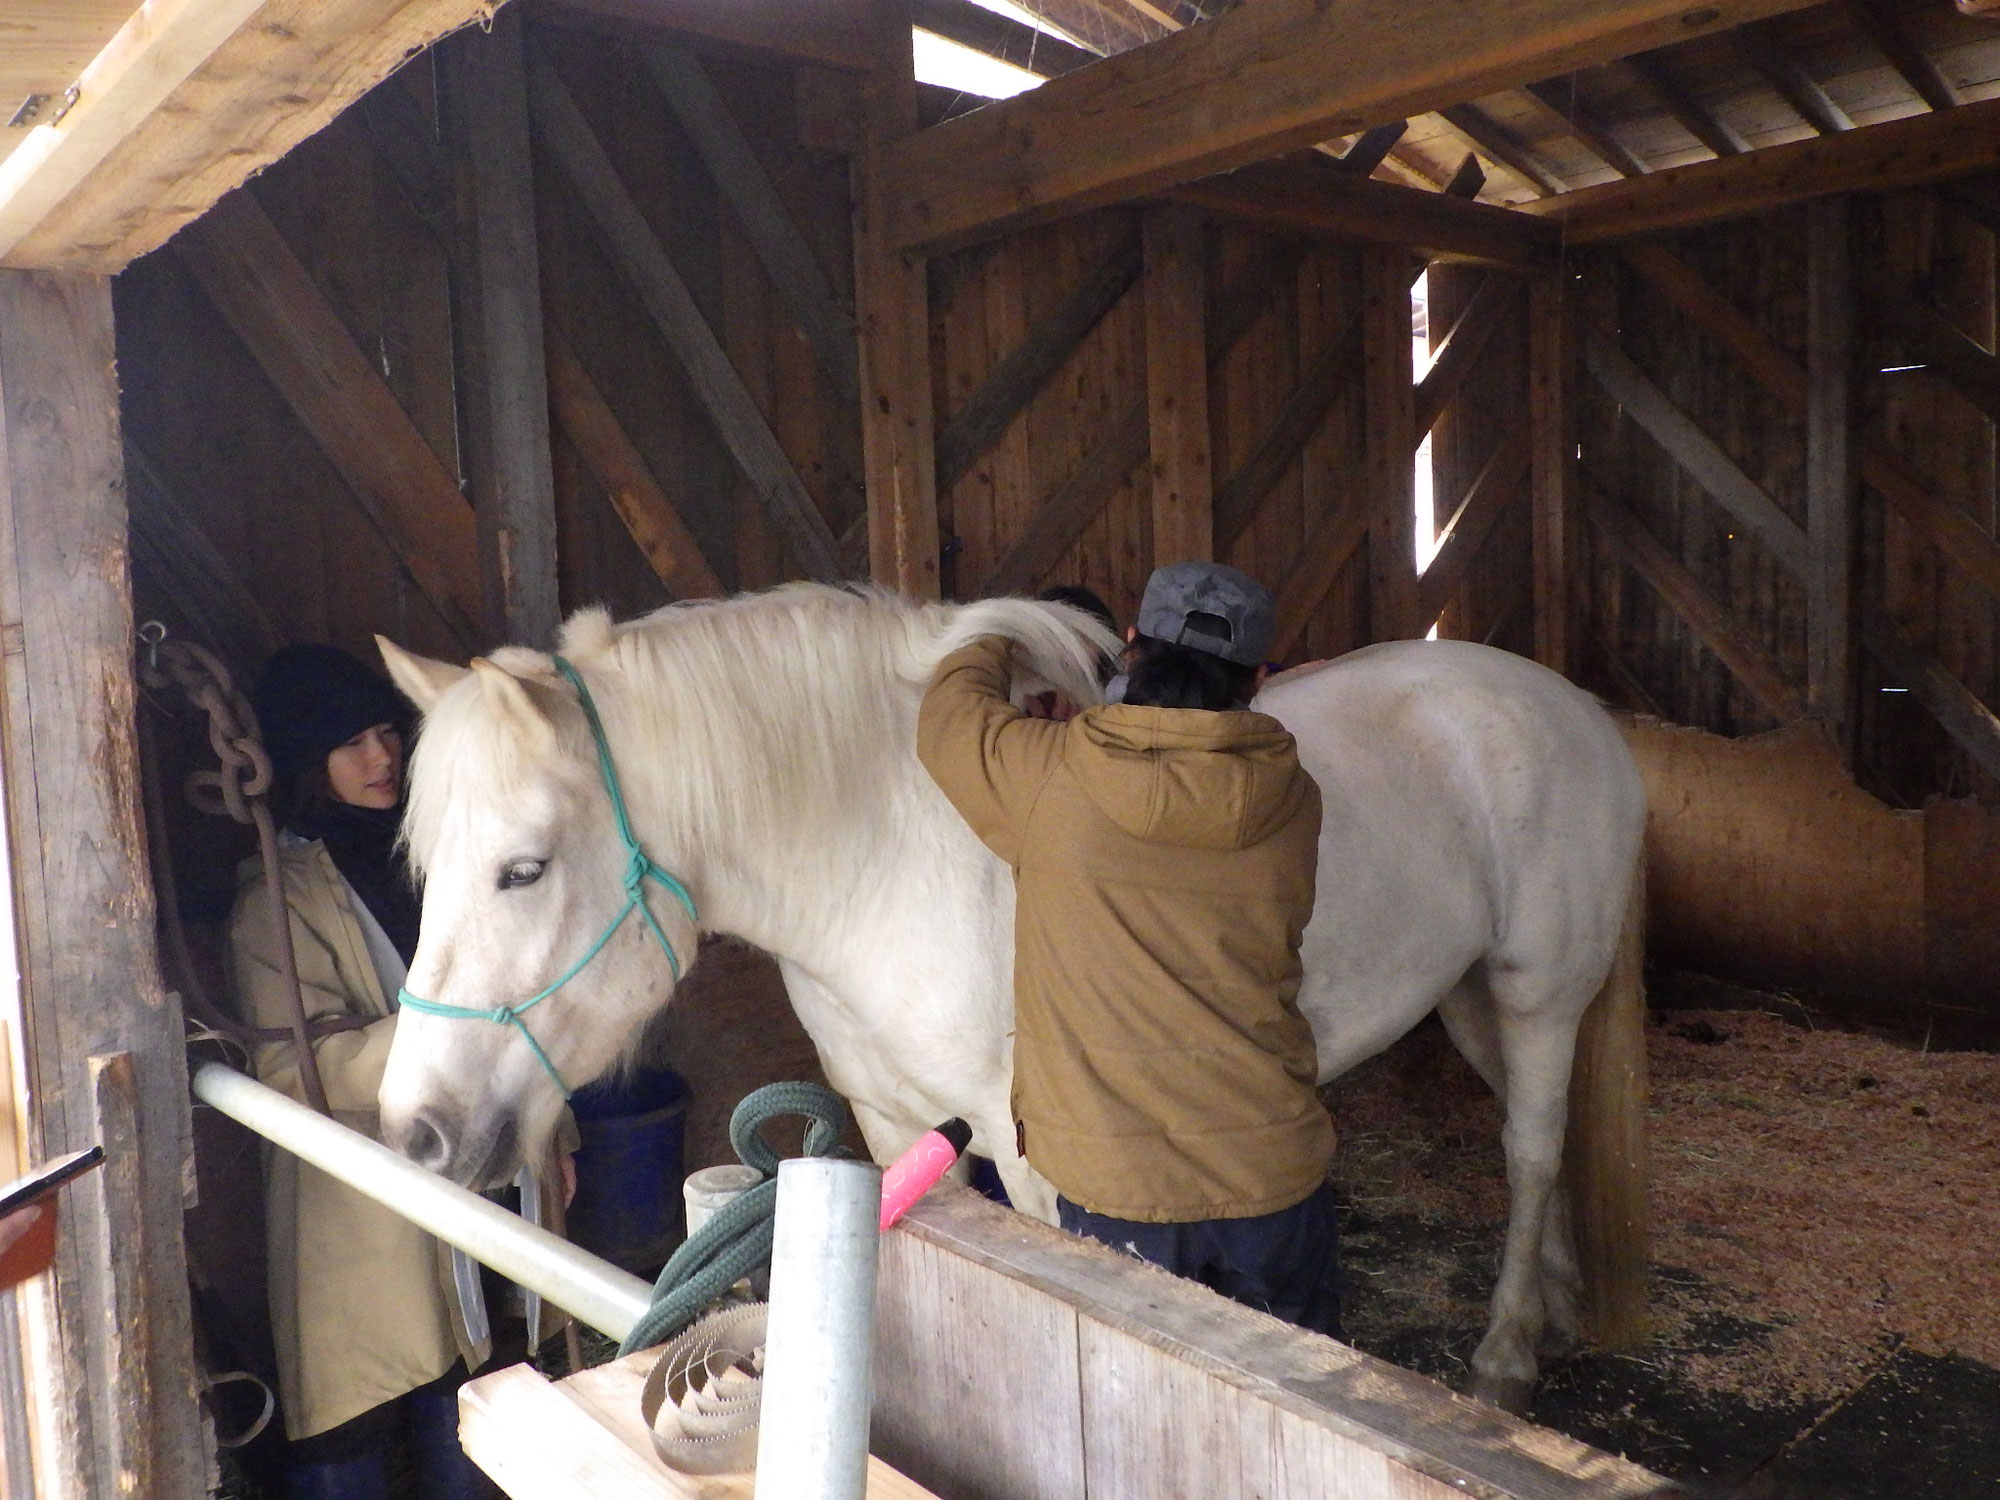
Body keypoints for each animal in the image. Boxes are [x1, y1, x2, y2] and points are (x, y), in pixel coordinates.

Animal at [372, 588, 1640, 1408]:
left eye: (522, 869)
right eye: (425, 867)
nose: (414, 1128)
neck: (884, 847)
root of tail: (1577, 709)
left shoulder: (1038, 1158)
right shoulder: (890, 1128)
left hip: (1535, 993)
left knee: (1528, 1152)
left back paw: (1507, 1352)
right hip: (1471, 1002)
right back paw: (1559, 1296)